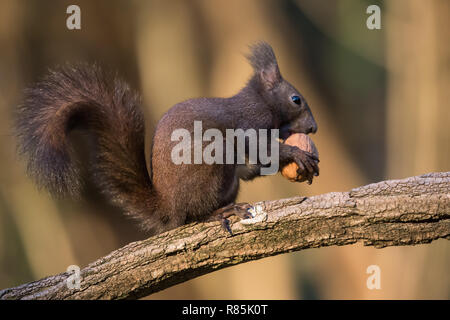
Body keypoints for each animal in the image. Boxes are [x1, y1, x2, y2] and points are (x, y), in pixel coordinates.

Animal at [15, 41, 318, 234]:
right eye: (296, 100)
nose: (314, 128)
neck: (261, 101)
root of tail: (169, 209)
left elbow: (257, 163)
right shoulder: (250, 123)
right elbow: (259, 147)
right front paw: (297, 154)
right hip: (211, 161)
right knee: (194, 216)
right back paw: (221, 213)